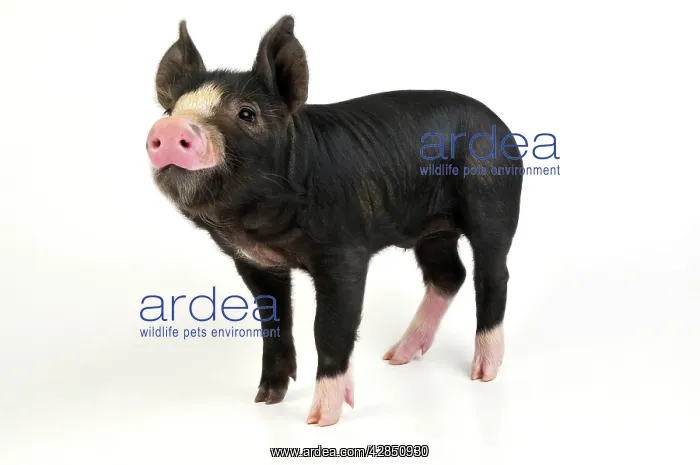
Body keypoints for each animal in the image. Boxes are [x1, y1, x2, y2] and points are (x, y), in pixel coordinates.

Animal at [146, 15, 523, 427]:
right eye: (171, 110)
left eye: (247, 113)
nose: (170, 129)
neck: (260, 224)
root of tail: (501, 125)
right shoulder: (253, 261)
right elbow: (274, 321)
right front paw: (266, 399)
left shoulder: (344, 254)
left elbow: (329, 328)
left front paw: (319, 419)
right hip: (433, 231)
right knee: (449, 274)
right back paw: (396, 356)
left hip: (493, 199)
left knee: (493, 274)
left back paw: (482, 373)